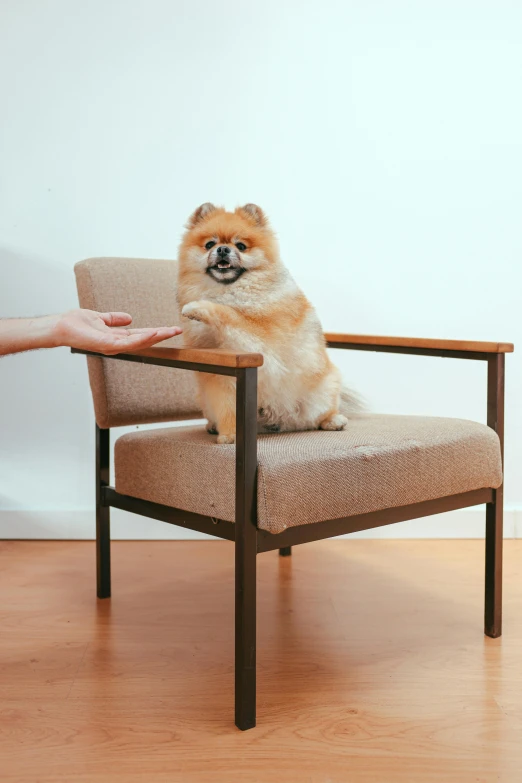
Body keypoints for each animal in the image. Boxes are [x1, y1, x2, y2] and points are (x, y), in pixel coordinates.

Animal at [177, 205, 356, 444]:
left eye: (241, 246)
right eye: (209, 244)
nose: (222, 249)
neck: (227, 290)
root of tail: (283, 422)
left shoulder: (266, 339)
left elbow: (231, 314)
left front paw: (197, 307)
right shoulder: (220, 376)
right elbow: (226, 406)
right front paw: (230, 434)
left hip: (325, 387)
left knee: (319, 415)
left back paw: (333, 420)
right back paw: (213, 426)